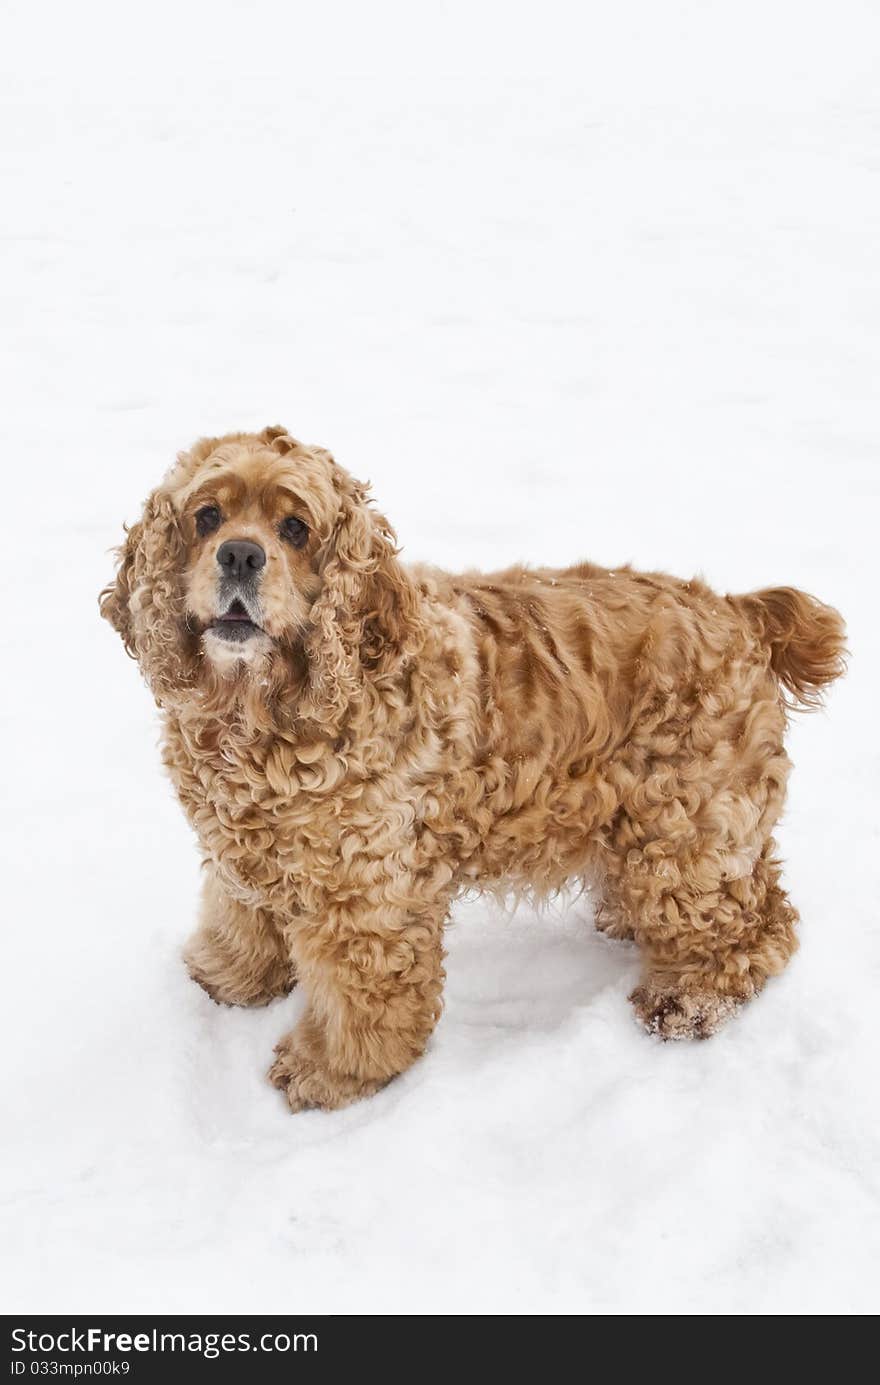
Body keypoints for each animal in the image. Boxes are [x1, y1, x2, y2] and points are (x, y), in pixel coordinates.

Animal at [101, 426, 848, 1108]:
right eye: (207, 516)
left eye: (295, 528)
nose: (240, 554)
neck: (259, 708)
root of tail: (741, 611)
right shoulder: (246, 848)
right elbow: (240, 916)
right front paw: (228, 977)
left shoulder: (368, 891)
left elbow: (361, 1000)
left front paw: (330, 1072)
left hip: (687, 831)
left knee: (757, 925)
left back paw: (685, 1000)